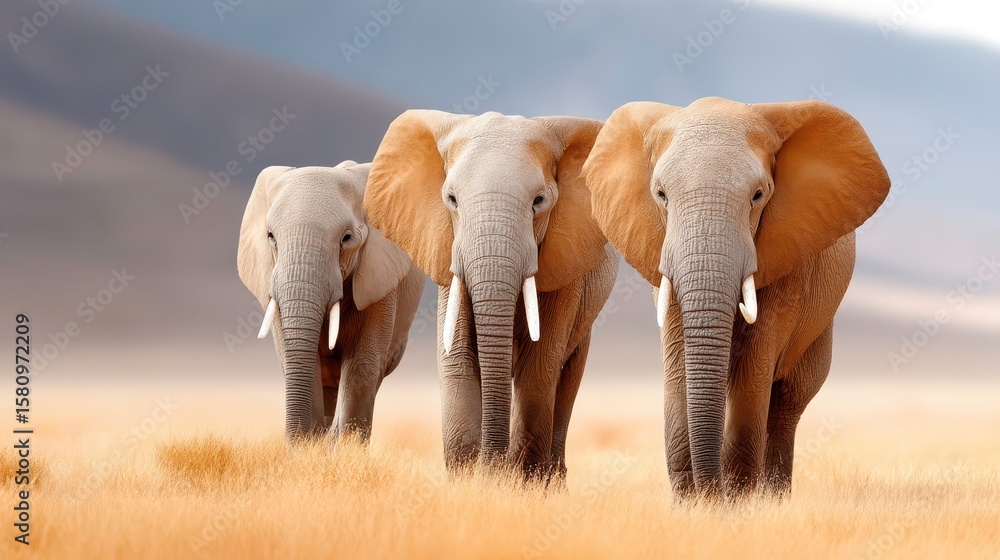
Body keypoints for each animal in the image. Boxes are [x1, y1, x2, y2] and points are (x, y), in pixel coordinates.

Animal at [237, 161, 424, 441]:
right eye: (271, 236)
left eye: (346, 239)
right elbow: (300, 360)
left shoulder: (379, 283)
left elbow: (361, 366)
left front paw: (342, 445)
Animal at [365, 110, 619, 480]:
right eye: (451, 200)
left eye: (539, 202)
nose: (492, 465)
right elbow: (457, 357)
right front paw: (472, 478)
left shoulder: (564, 270)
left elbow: (539, 365)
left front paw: (514, 481)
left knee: (567, 377)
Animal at [583, 97, 890, 497]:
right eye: (661, 195)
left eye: (758, 196)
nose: (709, 492)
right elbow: (677, 363)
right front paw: (693, 502)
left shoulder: (787, 262)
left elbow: (753, 372)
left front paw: (736, 501)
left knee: (787, 403)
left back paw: (772, 497)